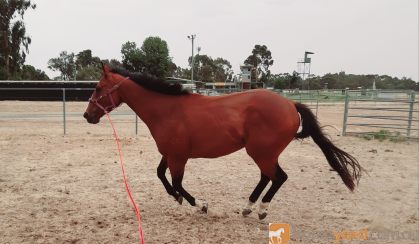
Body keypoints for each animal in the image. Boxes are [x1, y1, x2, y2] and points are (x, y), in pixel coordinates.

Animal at [83, 64, 362, 219]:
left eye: (97, 88)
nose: (87, 116)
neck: (167, 110)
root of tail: (290, 105)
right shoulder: (170, 154)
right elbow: (161, 176)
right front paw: (178, 199)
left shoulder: (178, 158)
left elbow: (177, 182)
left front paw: (200, 205)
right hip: (264, 153)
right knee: (267, 177)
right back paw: (248, 207)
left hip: (261, 152)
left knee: (278, 177)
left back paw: (261, 210)